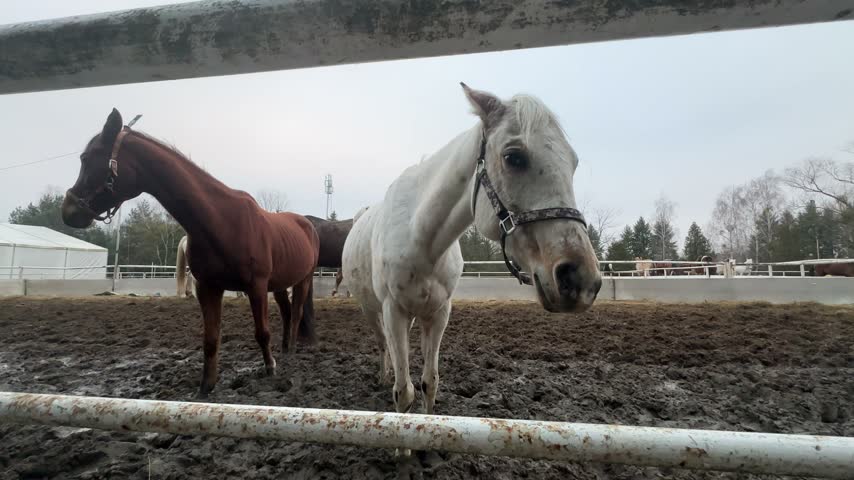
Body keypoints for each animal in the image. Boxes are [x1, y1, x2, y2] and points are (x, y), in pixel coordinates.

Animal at [61, 108, 320, 398]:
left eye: (86, 158)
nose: (68, 210)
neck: (220, 221)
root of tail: (306, 223)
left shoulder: (256, 286)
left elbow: (262, 332)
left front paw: (270, 369)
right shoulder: (207, 287)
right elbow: (210, 339)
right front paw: (205, 388)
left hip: (303, 280)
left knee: (295, 315)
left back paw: (291, 352)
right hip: (280, 284)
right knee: (287, 314)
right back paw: (285, 349)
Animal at [342, 84, 601, 428]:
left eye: (573, 162)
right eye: (513, 157)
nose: (580, 278)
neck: (420, 237)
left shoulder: (439, 312)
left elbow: (429, 382)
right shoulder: (393, 310)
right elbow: (404, 391)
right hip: (371, 309)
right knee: (383, 343)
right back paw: (383, 375)